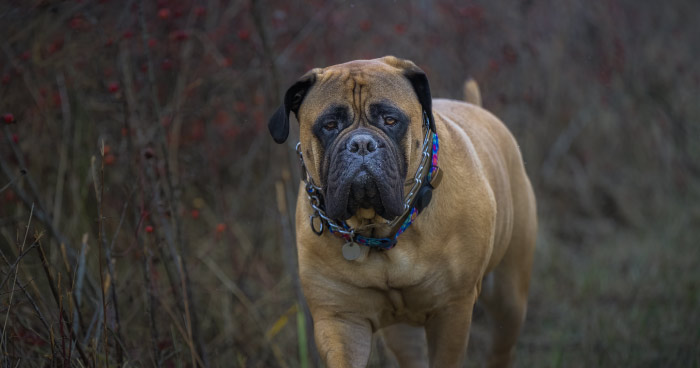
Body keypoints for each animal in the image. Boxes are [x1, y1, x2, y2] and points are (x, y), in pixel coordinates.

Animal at [268, 56, 536, 366]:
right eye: (330, 124)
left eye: (390, 120)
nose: (361, 143)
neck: (377, 230)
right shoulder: (340, 320)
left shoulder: (452, 309)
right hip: (403, 333)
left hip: (509, 297)